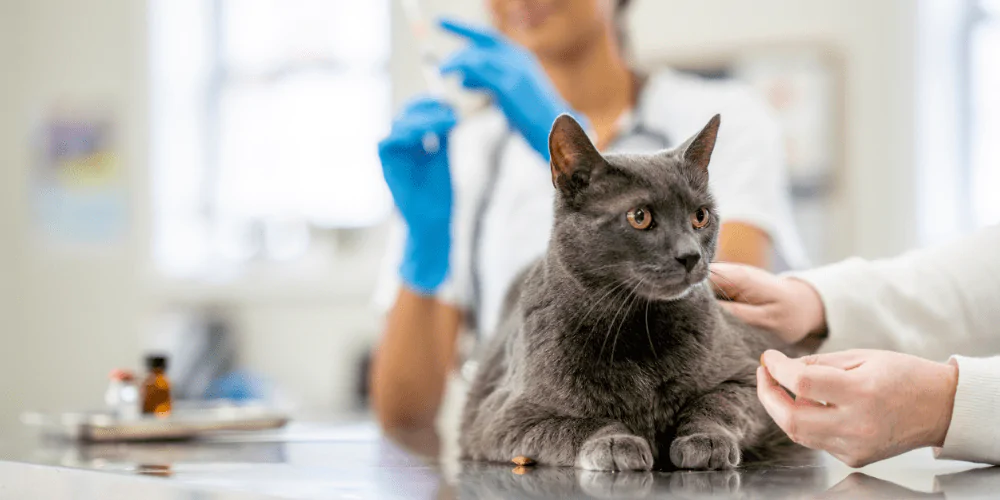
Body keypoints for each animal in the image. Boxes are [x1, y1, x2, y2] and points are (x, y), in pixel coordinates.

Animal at [460, 114, 796, 472]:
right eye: (639, 217)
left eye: (700, 216)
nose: (690, 255)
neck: (637, 326)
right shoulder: (500, 419)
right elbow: (576, 423)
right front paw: (614, 442)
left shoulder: (748, 378)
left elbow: (717, 403)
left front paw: (705, 439)